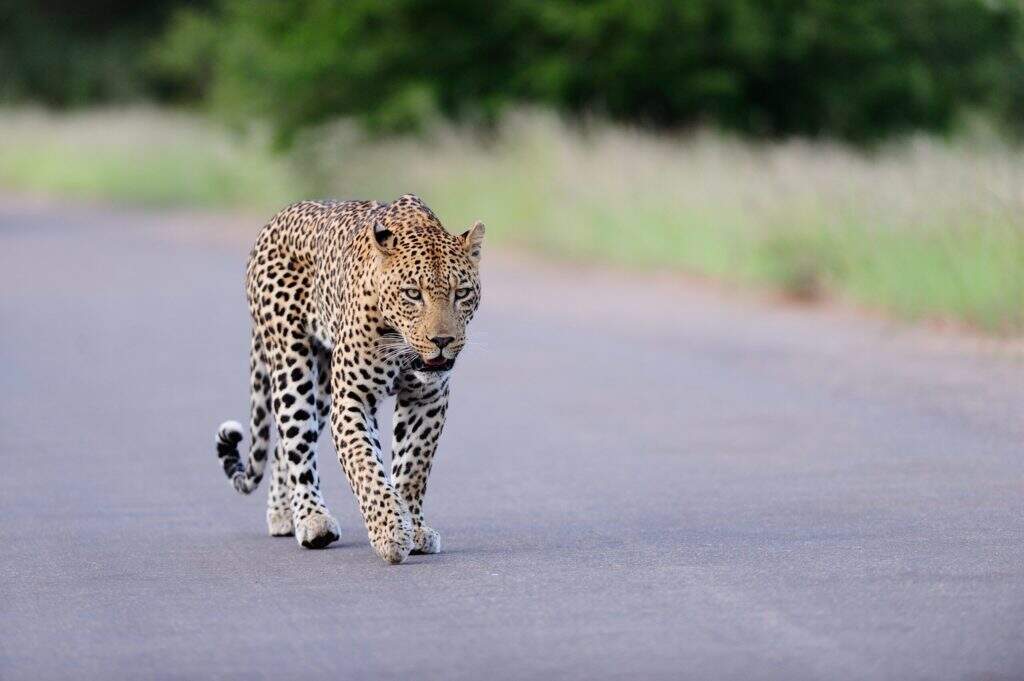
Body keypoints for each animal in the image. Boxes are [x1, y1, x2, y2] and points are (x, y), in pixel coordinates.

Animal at [211, 192, 483, 561]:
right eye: (413, 294)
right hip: (292, 363)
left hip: (323, 385)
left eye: (462, 293)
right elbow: (365, 467)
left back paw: (284, 515)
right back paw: (312, 521)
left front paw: (415, 528)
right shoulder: (353, 400)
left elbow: (413, 466)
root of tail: (275, 220)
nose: (442, 341)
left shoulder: (427, 399)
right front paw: (390, 533)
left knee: (284, 444)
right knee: (296, 440)